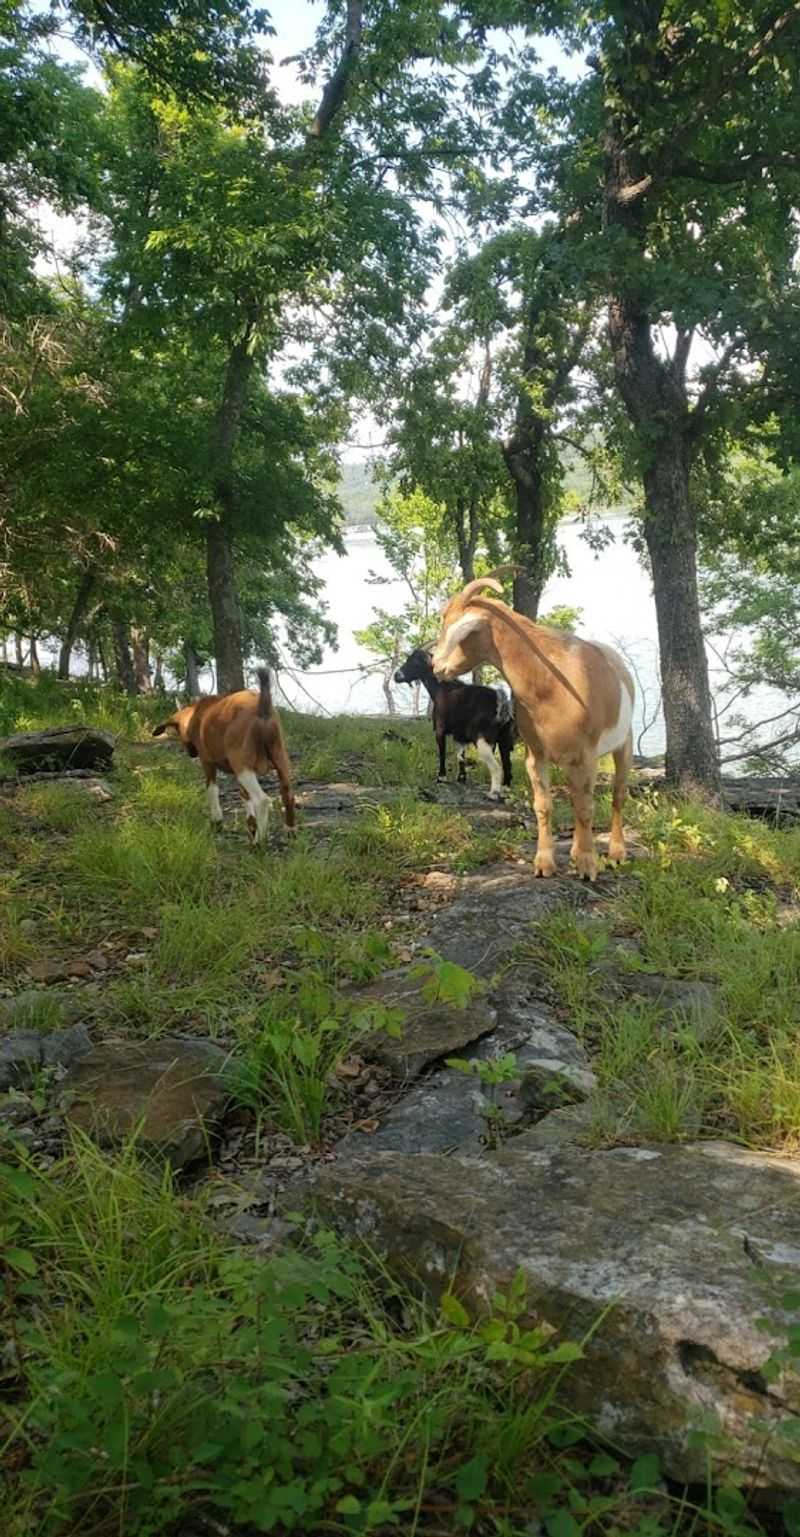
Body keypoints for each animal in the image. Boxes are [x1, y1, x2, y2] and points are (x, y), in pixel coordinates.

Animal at [152, 668, 295, 843]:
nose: (191, 753)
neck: (196, 714)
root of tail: (262, 709)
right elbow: (244, 796)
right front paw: (251, 826)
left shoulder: (207, 762)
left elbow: (212, 790)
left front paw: (217, 822)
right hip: (279, 759)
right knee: (287, 794)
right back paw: (290, 831)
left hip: (242, 766)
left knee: (262, 800)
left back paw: (259, 842)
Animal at [393, 647, 515, 799]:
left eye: (414, 661)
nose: (396, 676)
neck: (442, 689)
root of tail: (501, 703)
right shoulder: (460, 736)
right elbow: (461, 756)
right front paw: (461, 778)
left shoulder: (440, 730)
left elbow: (442, 753)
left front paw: (441, 777)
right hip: (505, 740)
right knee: (507, 764)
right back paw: (506, 789)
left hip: (482, 739)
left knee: (497, 767)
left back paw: (493, 793)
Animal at [431, 576, 635, 880]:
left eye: (447, 620)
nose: (435, 664)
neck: (550, 681)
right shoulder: (536, 755)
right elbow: (544, 806)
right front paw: (544, 863)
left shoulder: (586, 756)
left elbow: (586, 808)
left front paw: (588, 865)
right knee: (575, 797)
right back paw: (575, 851)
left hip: (623, 744)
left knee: (617, 795)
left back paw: (617, 852)